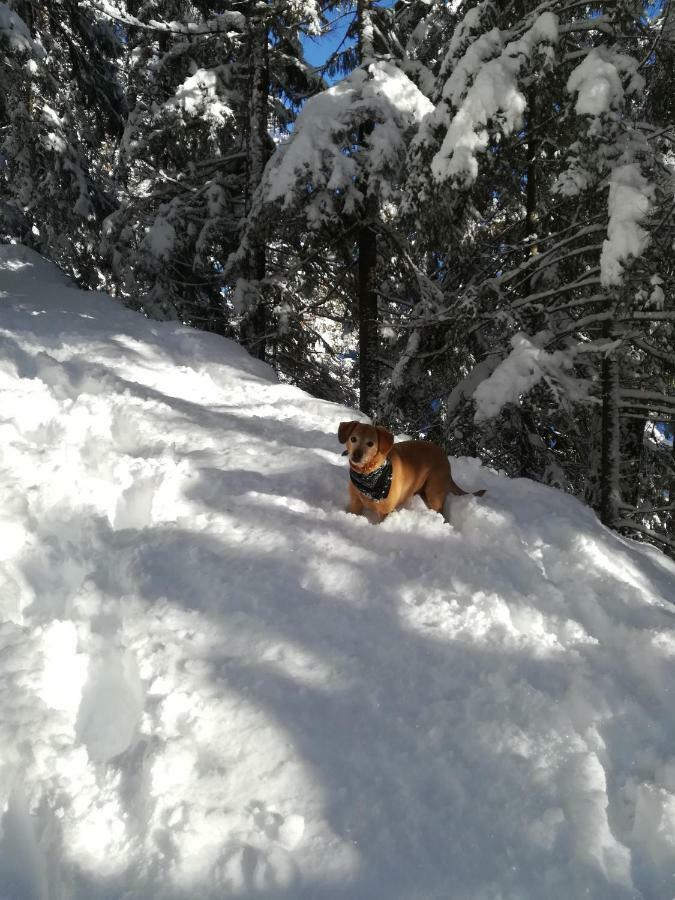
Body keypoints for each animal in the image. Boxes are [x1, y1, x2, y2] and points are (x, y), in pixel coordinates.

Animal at [338, 424, 486, 524]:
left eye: (370, 443)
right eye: (353, 439)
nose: (356, 455)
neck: (369, 475)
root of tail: (444, 456)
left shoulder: (386, 512)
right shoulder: (355, 504)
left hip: (434, 493)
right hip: (425, 494)